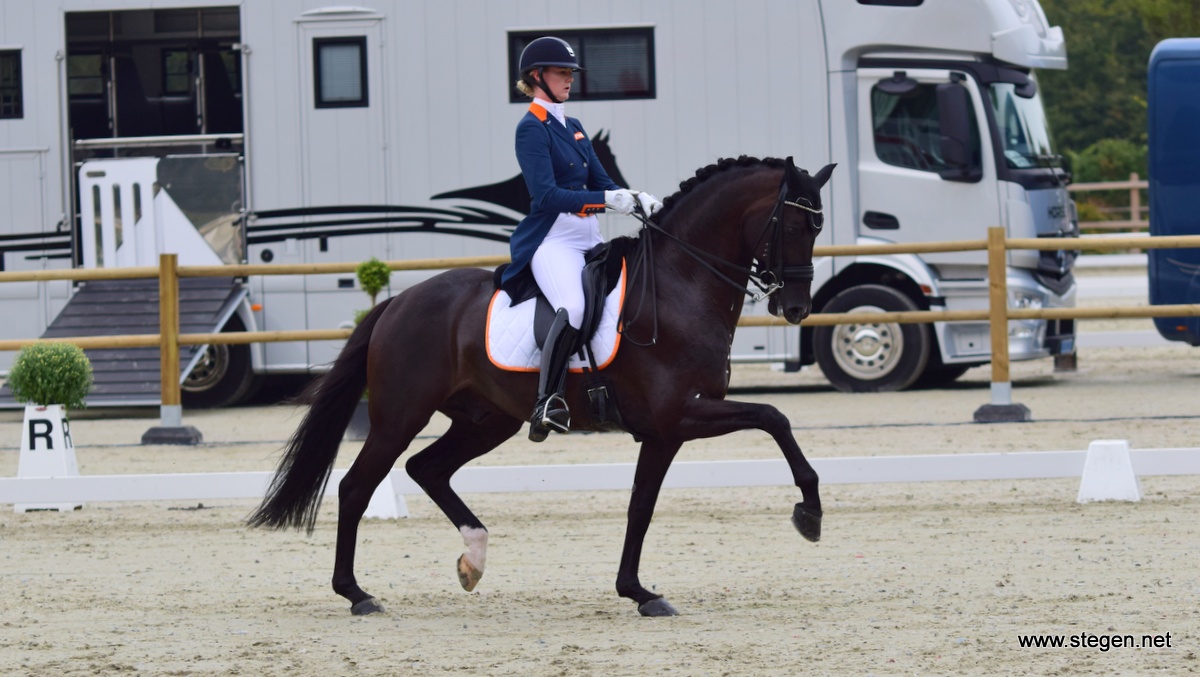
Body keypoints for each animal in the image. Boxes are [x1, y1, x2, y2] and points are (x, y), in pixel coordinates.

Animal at [250, 156, 835, 614]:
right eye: (794, 226)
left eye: (818, 228)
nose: (796, 309)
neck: (678, 287)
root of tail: (397, 302)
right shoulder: (680, 414)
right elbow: (774, 418)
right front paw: (809, 514)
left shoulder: (665, 430)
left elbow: (641, 506)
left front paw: (638, 592)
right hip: (400, 415)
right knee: (357, 486)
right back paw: (357, 594)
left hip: (487, 420)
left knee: (427, 469)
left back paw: (473, 558)